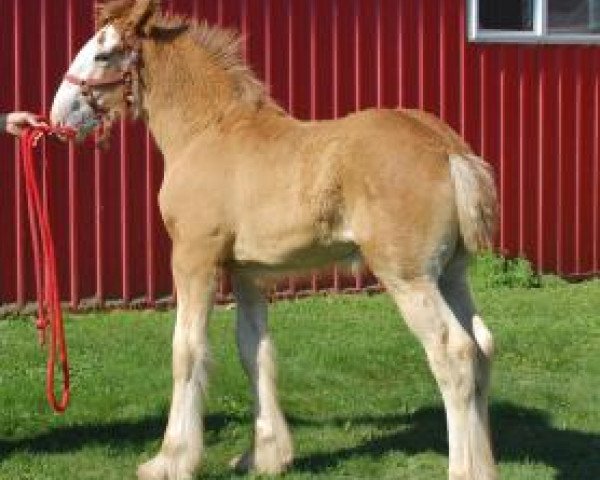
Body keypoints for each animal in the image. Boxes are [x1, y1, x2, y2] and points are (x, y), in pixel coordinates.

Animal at [50, 1, 496, 478]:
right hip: (451, 274)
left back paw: (464, 468)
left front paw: (170, 460)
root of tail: (448, 150)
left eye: (103, 54)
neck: (207, 131)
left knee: (454, 353)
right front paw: (264, 455)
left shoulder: (194, 259)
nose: (59, 115)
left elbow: (186, 351)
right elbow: (255, 351)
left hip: (409, 277)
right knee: (482, 346)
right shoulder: (248, 274)